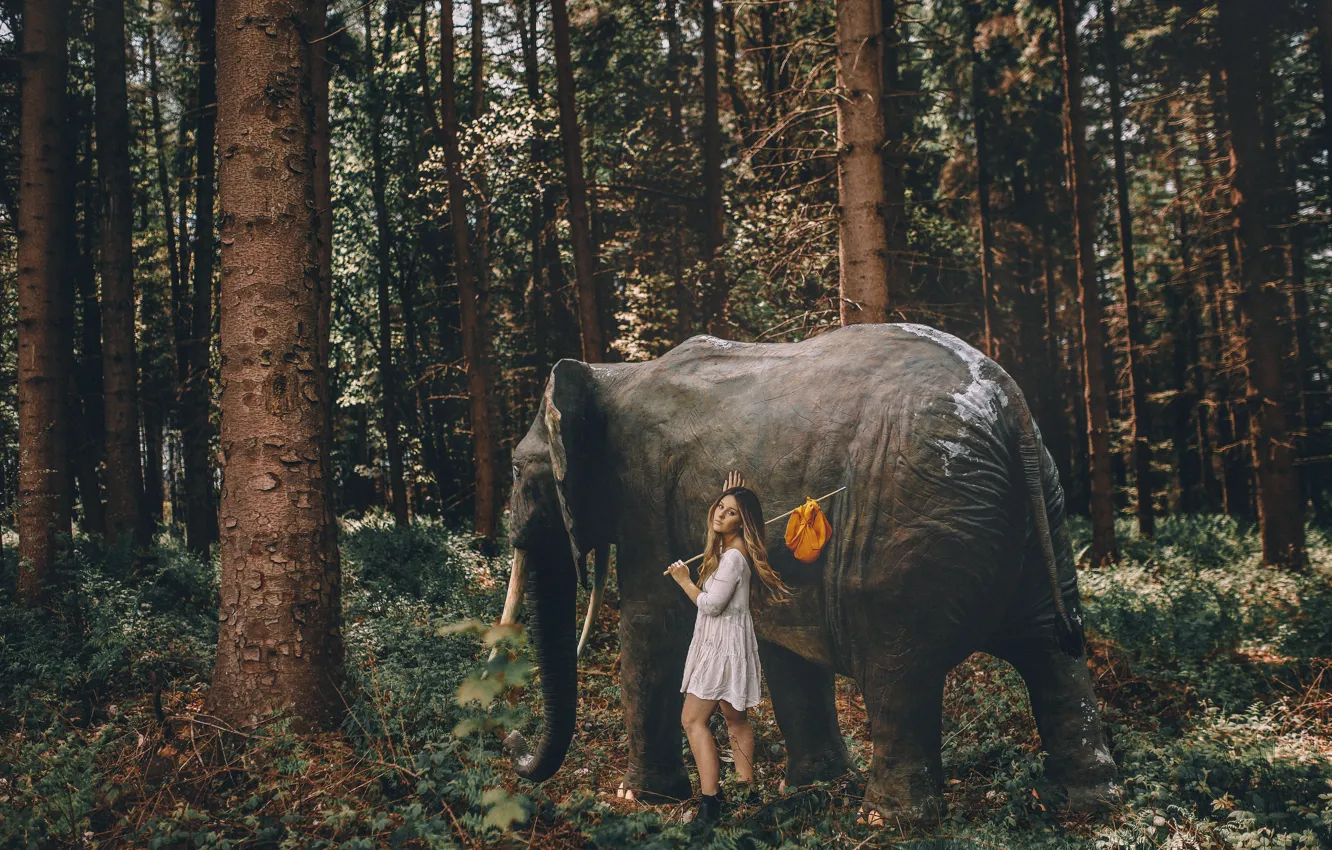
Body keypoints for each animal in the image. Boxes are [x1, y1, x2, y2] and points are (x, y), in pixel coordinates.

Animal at [498, 322, 1119, 820]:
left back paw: (889, 820)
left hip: (915, 522)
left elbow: (653, 630)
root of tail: (1009, 404)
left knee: (900, 670)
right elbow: (783, 648)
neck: (615, 374)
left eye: (517, 469)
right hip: (1039, 516)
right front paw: (813, 784)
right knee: (1053, 647)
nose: (513, 742)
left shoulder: (644, 494)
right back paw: (1085, 802)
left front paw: (643, 799)